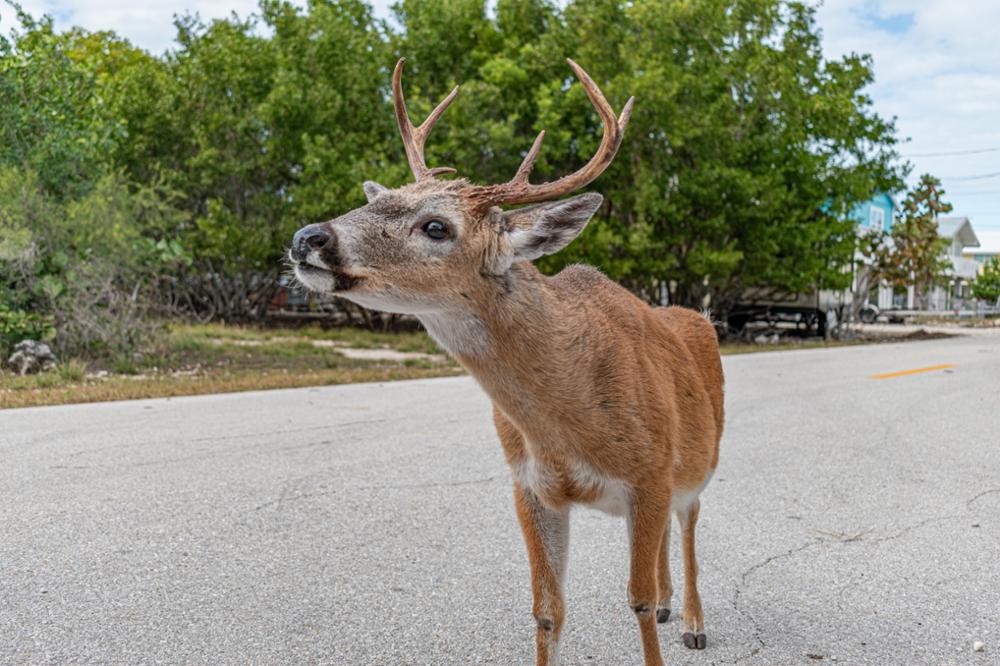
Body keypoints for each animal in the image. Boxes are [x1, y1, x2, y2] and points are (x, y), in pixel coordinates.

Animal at [292, 58, 728, 664]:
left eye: (436, 226)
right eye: (378, 200)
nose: (308, 237)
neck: (570, 422)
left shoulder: (650, 472)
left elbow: (635, 600)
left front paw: (663, 617)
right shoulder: (529, 485)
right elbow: (547, 611)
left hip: (699, 462)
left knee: (688, 526)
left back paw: (691, 620)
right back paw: (672, 607)